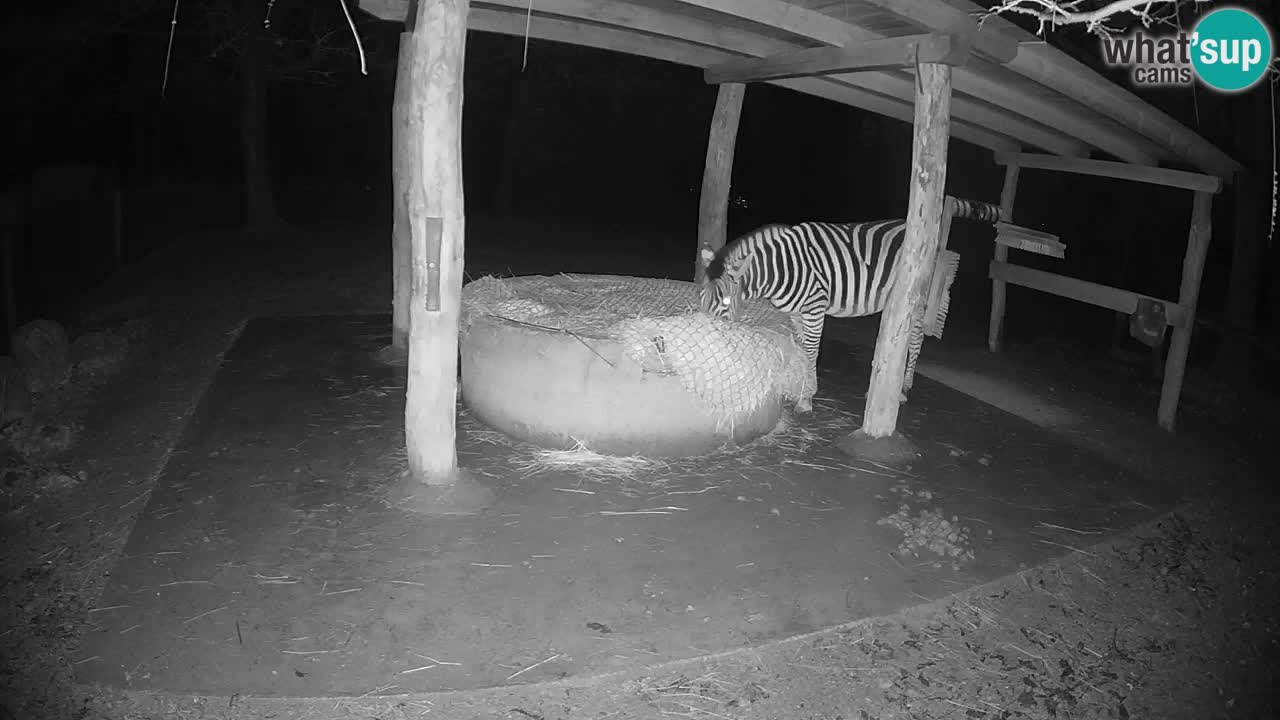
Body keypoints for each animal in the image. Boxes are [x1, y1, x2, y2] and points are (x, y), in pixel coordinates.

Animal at [697, 199, 1000, 413]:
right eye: (701, 298)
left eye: (726, 302)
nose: (704, 337)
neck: (781, 270)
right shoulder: (795, 314)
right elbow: (800, 349)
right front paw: (803, 387)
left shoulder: (815, 308)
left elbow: (811, 350)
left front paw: (807, 397)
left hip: (918, 300)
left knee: (915, 342)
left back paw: (903, 389)